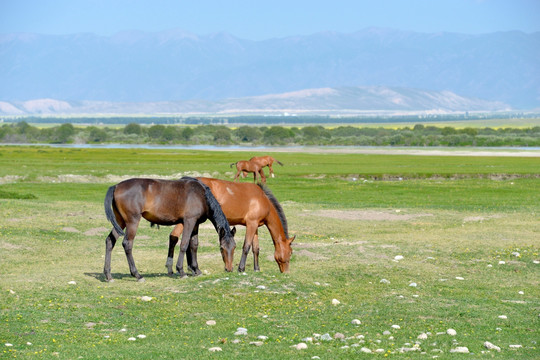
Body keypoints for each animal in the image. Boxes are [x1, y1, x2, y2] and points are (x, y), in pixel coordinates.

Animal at [103, 176, 236, 282]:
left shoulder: (195, 223)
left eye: (234, 247)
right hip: (132, 222)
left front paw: (196, 270)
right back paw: (137, 275)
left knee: (110, 241)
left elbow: (194, 245)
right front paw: (181, 271)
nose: (229, 268)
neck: (201, 195)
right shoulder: (189, 221)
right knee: (127, 244)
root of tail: (116, 186)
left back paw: (108, 275)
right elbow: (184, 244)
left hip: (120, 221)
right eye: (221, 248)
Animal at [168, 177, 296, 272]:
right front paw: (241, 268)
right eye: (290, 253)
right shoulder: (251, 224)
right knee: (174, 237)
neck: (263, 200)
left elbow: (256, 248)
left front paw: (256, 269)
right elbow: (246, 246)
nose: (286, 272)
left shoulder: (255, 226)